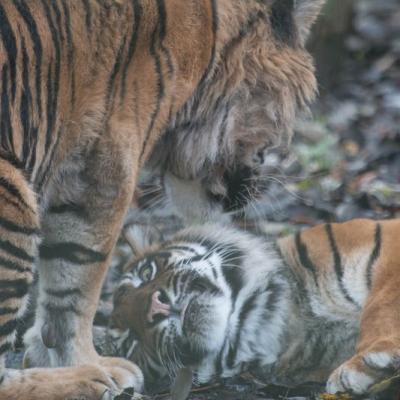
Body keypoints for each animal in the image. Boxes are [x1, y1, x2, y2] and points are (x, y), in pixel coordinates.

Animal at [0, 0, 322, 396]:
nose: (252, 194)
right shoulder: (104, 168)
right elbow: (77, 281)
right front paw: (86, 361)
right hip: (13, 196)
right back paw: (87, 380)